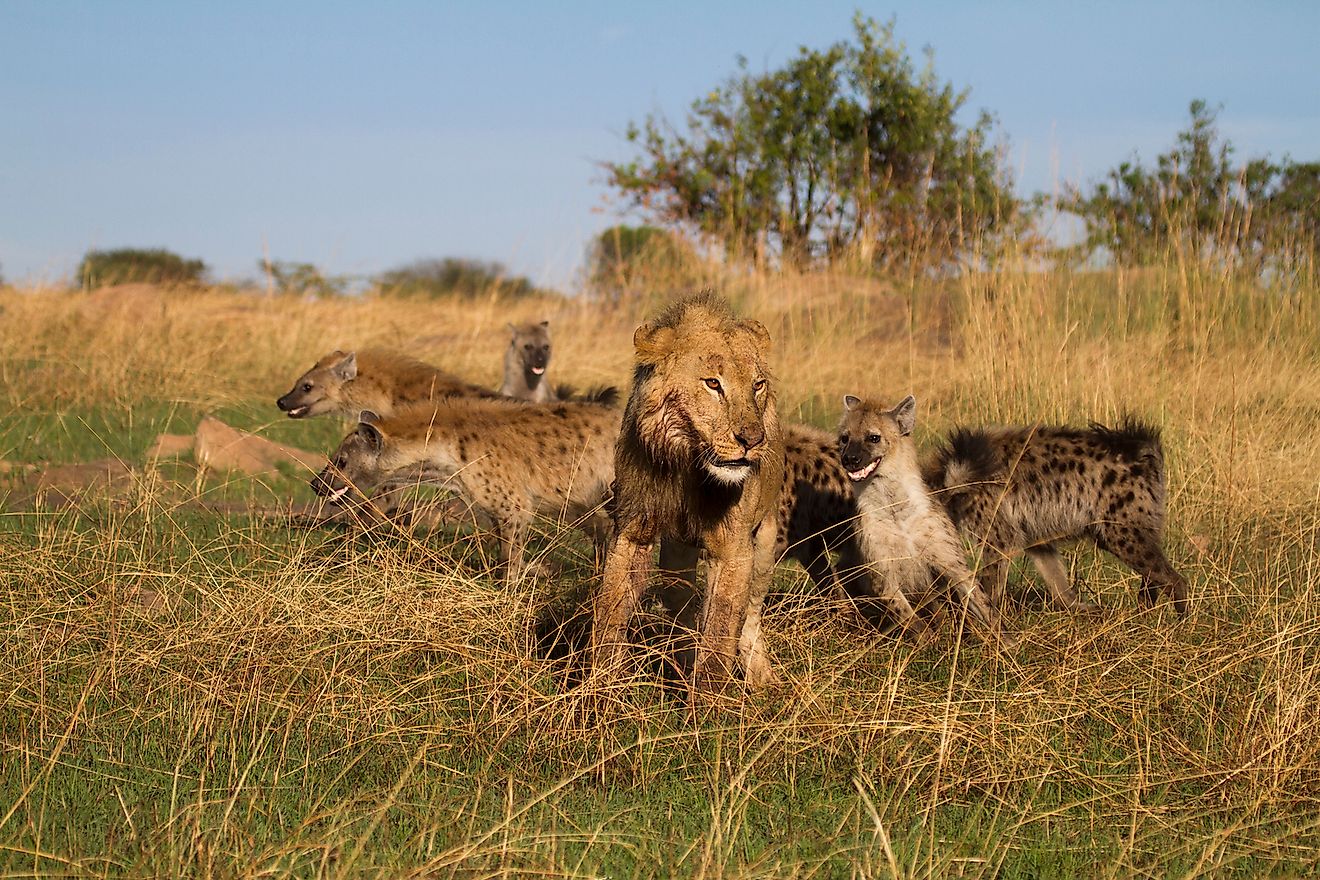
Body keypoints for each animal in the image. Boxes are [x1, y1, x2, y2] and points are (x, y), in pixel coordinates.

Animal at [591, 295, 781, 701]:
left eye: (757, 385)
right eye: (712, 383)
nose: (753, 440)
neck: (688, 464)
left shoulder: (734, 548)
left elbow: (722, 627)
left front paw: (709, 704)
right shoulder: (634, 527)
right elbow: (611, 606)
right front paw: (598, 688)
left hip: (765, 543)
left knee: (750, 615)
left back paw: (760, 675)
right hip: (677, 556)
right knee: (680, 604)